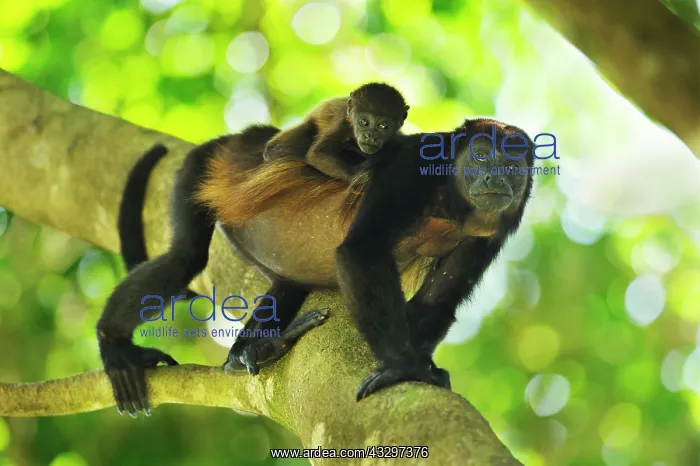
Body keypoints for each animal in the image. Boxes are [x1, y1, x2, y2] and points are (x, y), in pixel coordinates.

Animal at [103, 118, 534, 415]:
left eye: (513, 162)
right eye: (482, 154)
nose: (496, 176)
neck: (453, 202)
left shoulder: (491, 231)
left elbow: (438, 301)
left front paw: (421, 362)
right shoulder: (413, 167)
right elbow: (361, 249)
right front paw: (402, 367)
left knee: (286, 285)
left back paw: (251, 352)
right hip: (202, 164)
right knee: (187, 254)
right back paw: (115, 347)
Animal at [262, 82, 410, 182]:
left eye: (384, 126)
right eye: (363, 122)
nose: (370, 136)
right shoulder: (341, 124)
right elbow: (317, 154)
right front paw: (359, 179)